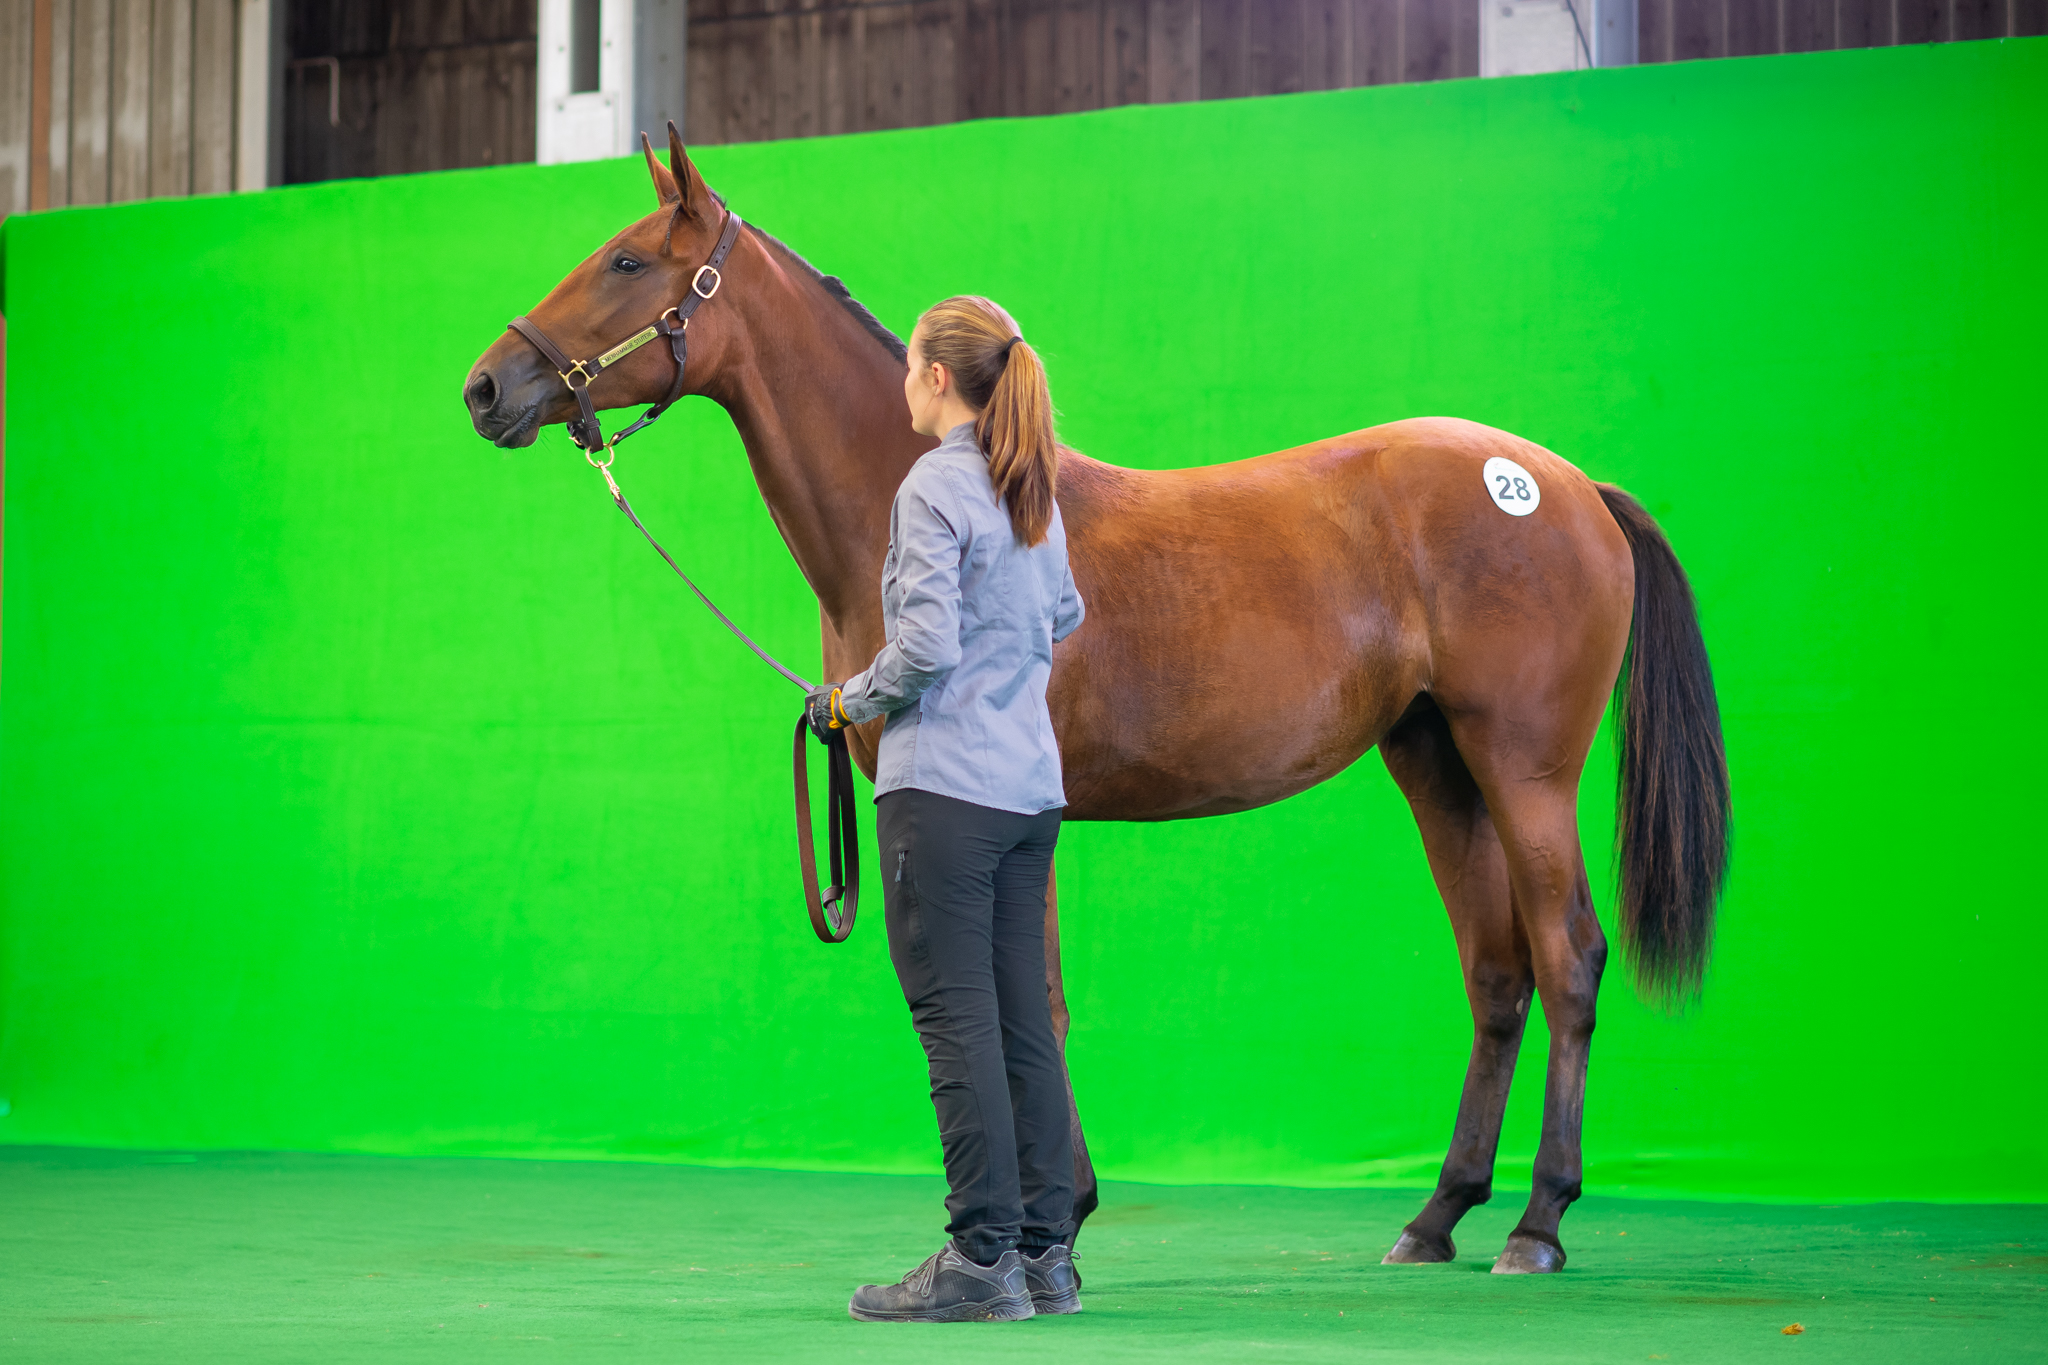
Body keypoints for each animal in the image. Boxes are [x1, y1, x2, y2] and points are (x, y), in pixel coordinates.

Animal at [460, 133, 1728, 1277]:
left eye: (626, 261)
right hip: (1435, 764)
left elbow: (1031, 999)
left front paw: (1048, 1225)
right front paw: (1052, 1219)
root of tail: (1567, 487)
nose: (485, 386)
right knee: (1495, 973)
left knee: (1566, 958)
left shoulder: (1001, 815)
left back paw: (1537, 1225)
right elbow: (1035, 997)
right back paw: (1436, 1218)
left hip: (1522, 766)